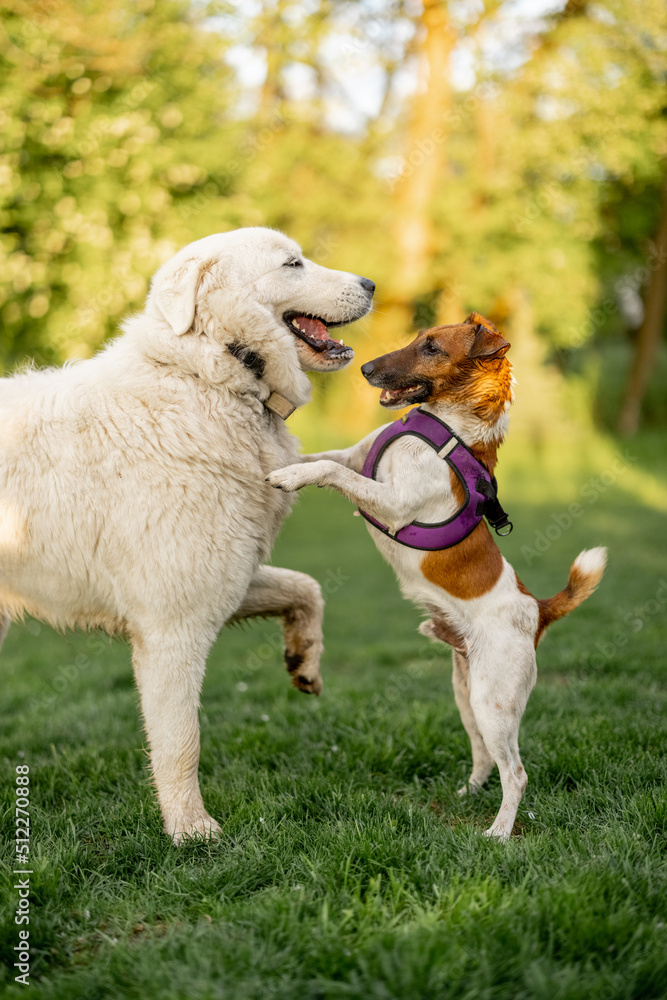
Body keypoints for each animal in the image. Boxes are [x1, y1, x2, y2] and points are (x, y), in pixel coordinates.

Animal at [0, 229, 376, 844]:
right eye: (293, 264)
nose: (371, 284)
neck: (211, 374)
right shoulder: (172, 627)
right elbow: (180, 744)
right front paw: (192, 832)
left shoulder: (223, 579)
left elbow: (307, 588)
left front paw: (304, 662)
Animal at [268, 314, 608, 844]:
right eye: (417, 337)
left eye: (431, 348)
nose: (365, 368)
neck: (447, 427)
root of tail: (538, 610)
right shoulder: (355, 456)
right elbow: (316, 457)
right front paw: (272, 463)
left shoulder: (392, 503)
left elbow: (327, 470)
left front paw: (288, 478)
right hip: (467, 696)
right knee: (486, 757)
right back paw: (469, 792)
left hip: (494, 701)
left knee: (516, 773)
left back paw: (499, 832)